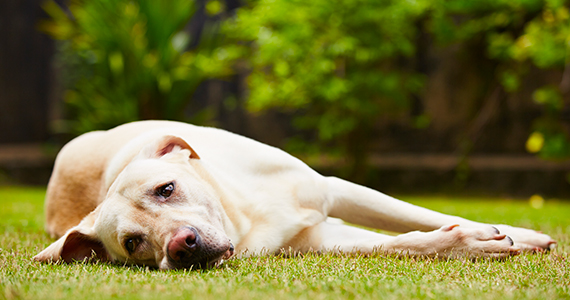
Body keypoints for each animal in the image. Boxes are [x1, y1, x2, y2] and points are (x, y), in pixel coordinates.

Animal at [32, 120, 556, 270]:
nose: (181, 247)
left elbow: (417, 215)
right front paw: (470, 243)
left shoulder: (336, 191)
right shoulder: (319, 239)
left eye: (166, 189)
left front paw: (512, 232)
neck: (245, 215)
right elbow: (406, 241)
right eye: (133, 243)